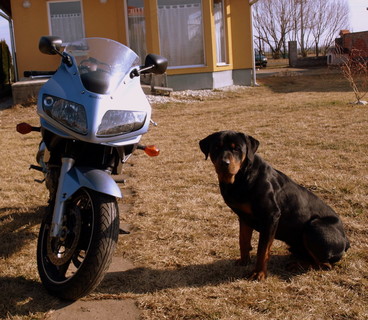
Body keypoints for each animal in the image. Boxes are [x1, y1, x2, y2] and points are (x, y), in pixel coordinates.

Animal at [200, 130, 350, 280]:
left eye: (237, 148)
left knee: (325, 265)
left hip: (314, 226)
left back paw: (297, 266)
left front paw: (259, 273)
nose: (224, 163)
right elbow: (243, 240)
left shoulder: (270, 216)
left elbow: (263, 250)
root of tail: (345, 240)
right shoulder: (244, 217)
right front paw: (244, 261)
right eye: (216, 148)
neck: (241, 177)